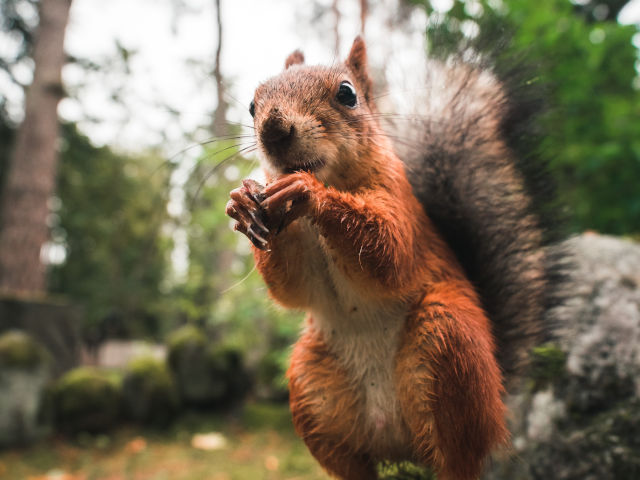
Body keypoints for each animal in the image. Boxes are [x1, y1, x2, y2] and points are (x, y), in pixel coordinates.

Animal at [225, 35, 560, 478]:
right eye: (252, 105)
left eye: (347, 95)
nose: (273, 129)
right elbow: (292, 286)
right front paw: (243, 202)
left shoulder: (399, 203)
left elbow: (388, 251)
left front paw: (309, 191)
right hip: (312, 386)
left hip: (447, 342)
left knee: (456, 458)